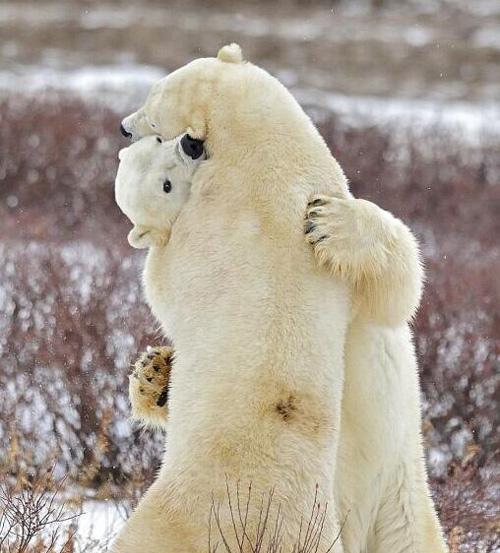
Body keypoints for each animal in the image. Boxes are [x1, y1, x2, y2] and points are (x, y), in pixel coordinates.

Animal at [115, 46, 448, 552]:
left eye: (153, 108)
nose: (123, 126)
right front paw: (154, 375)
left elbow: (396, 290)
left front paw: (329, 223)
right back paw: (154, 376)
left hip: (398, 493)